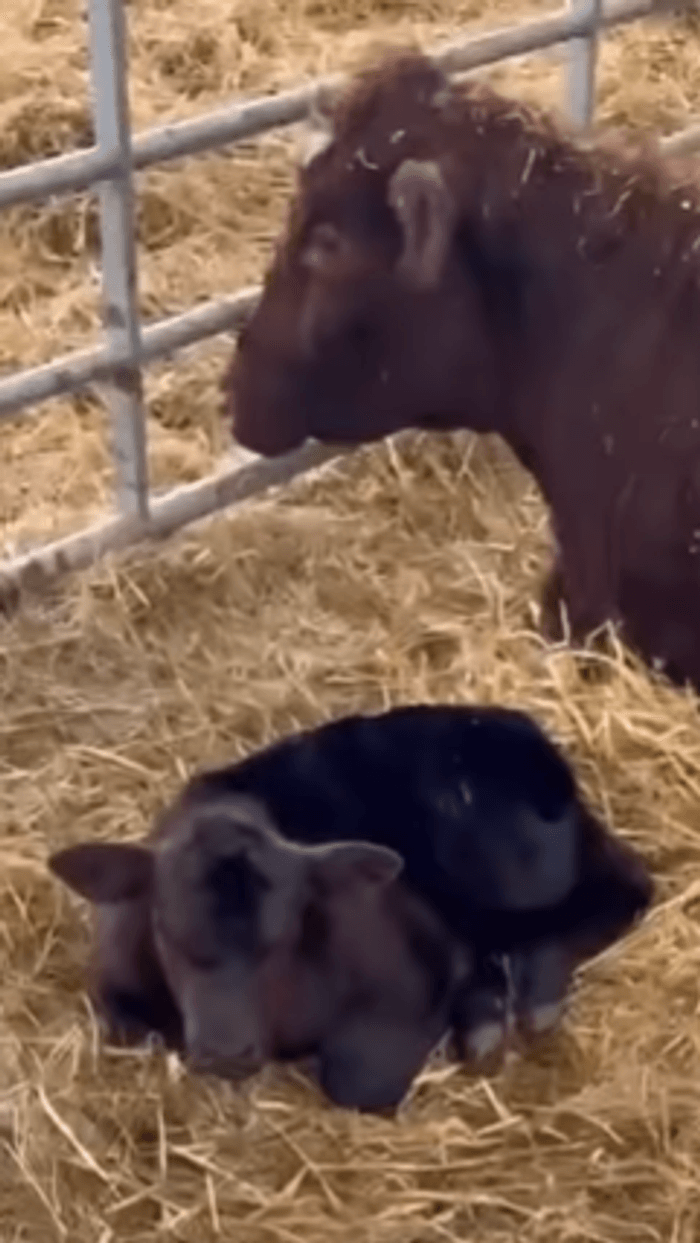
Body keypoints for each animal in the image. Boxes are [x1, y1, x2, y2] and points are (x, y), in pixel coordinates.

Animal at [49, 703, 653, 1087]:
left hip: (502, 861)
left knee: (625, 888)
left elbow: (355, 1078)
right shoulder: (115, 992)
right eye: (168, 931)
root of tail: (528, 736)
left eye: (284, 937)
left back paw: (534, 999)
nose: (225, 1054)